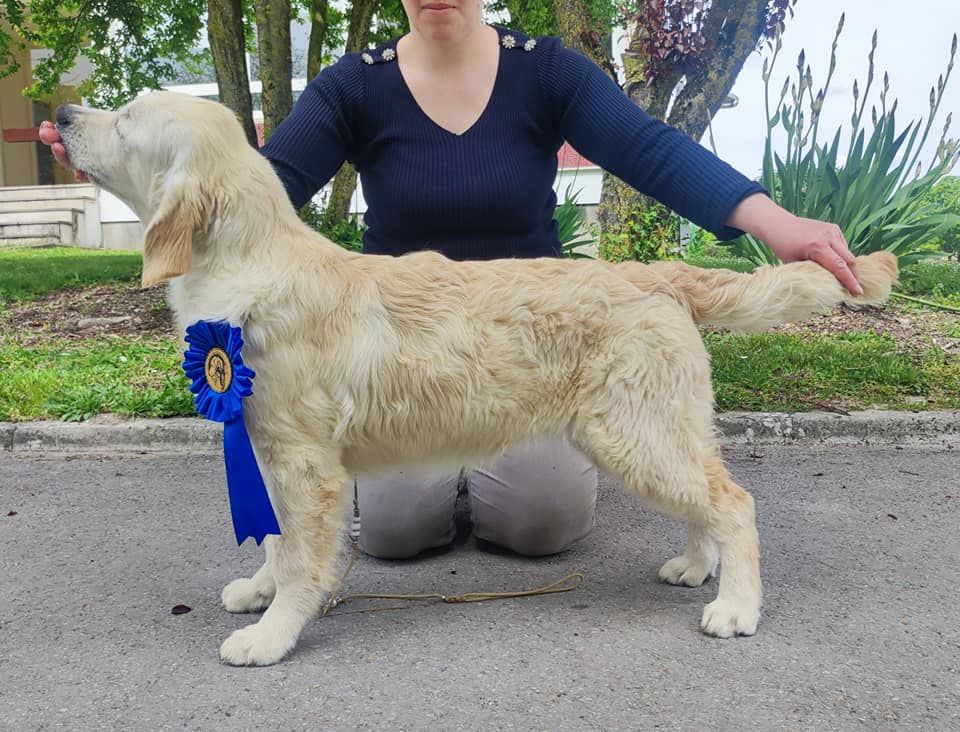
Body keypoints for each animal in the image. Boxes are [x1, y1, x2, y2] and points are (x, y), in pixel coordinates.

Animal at [56, 90, 900, 664]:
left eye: (126, 120)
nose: (61, 113)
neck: (248, 263)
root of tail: (655, 273)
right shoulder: (262, 442)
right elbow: (271, 539)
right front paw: (258, 593)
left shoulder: (305, 462)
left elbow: (300, 556)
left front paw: (272, 634)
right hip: (660, 428)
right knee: (711, 499)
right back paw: (696, 568)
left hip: (633, 434)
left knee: (734, 502)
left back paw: (736, 607)